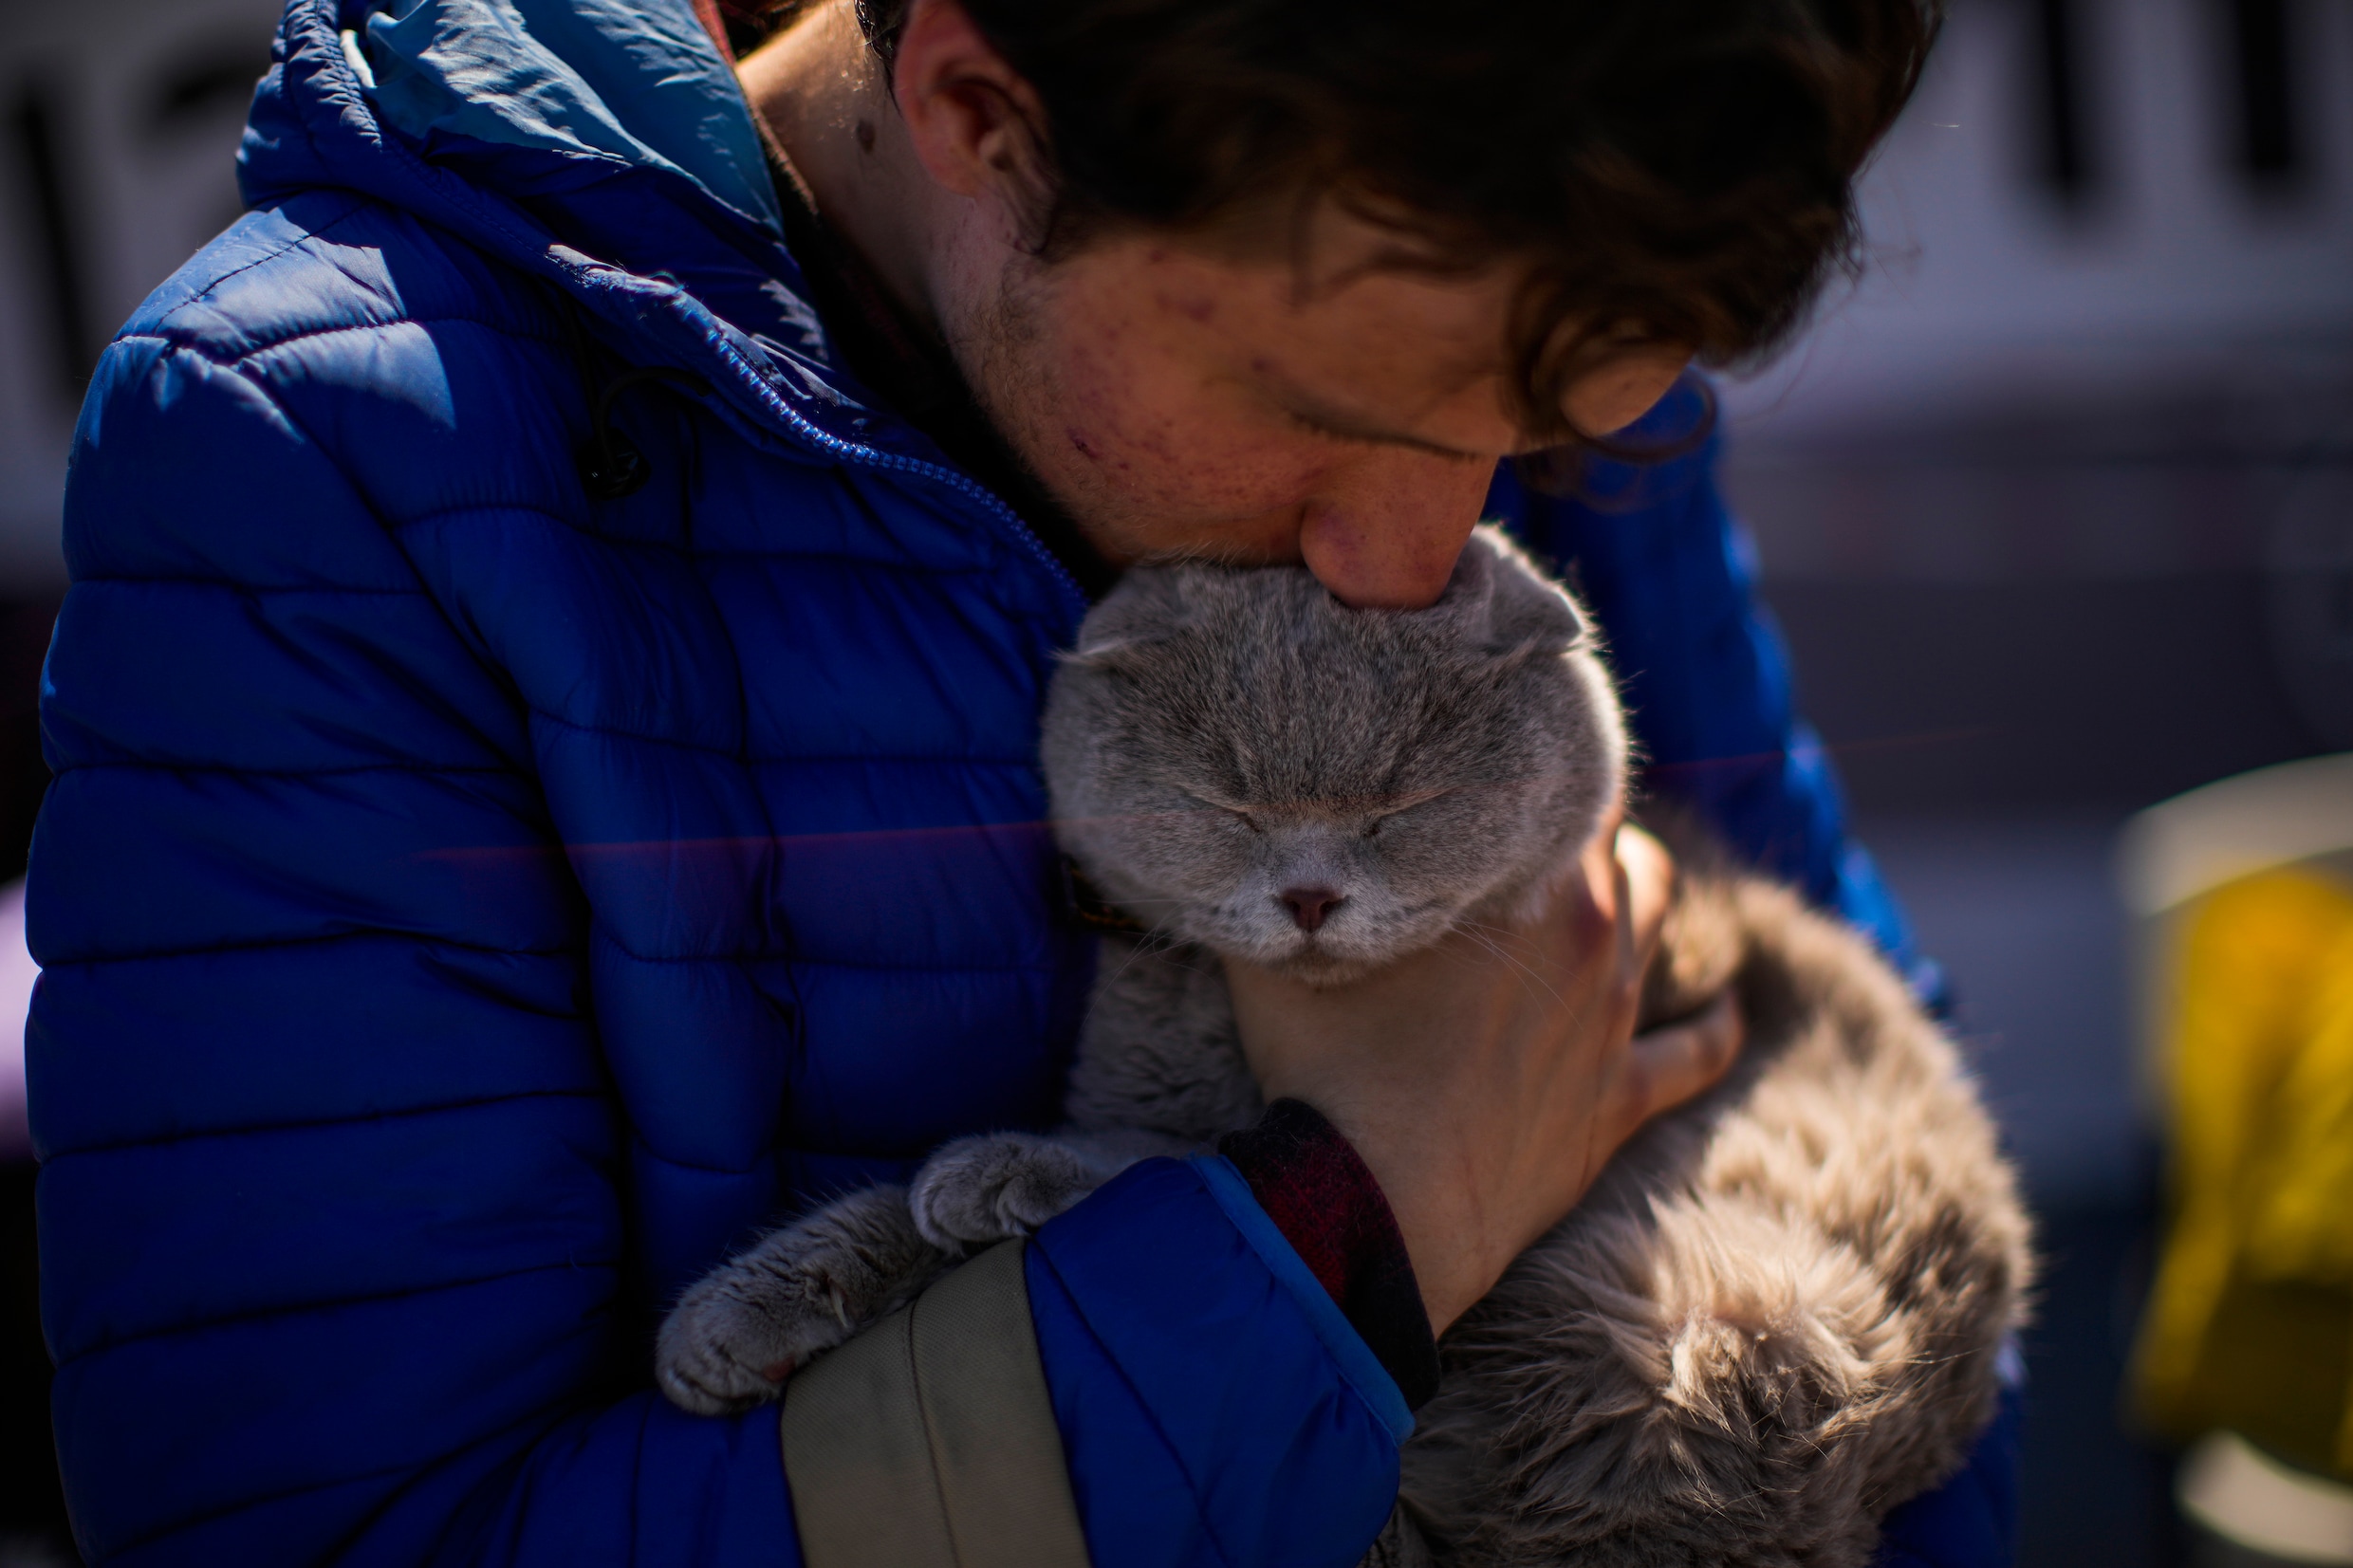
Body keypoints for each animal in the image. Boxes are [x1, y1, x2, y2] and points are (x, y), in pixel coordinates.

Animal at [654, 531, 2032, 1568]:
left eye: (1401, 805)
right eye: (1226, 801)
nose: (1310, 895)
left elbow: (1165, 1160)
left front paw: (991, 1174)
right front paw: (745, 1309)